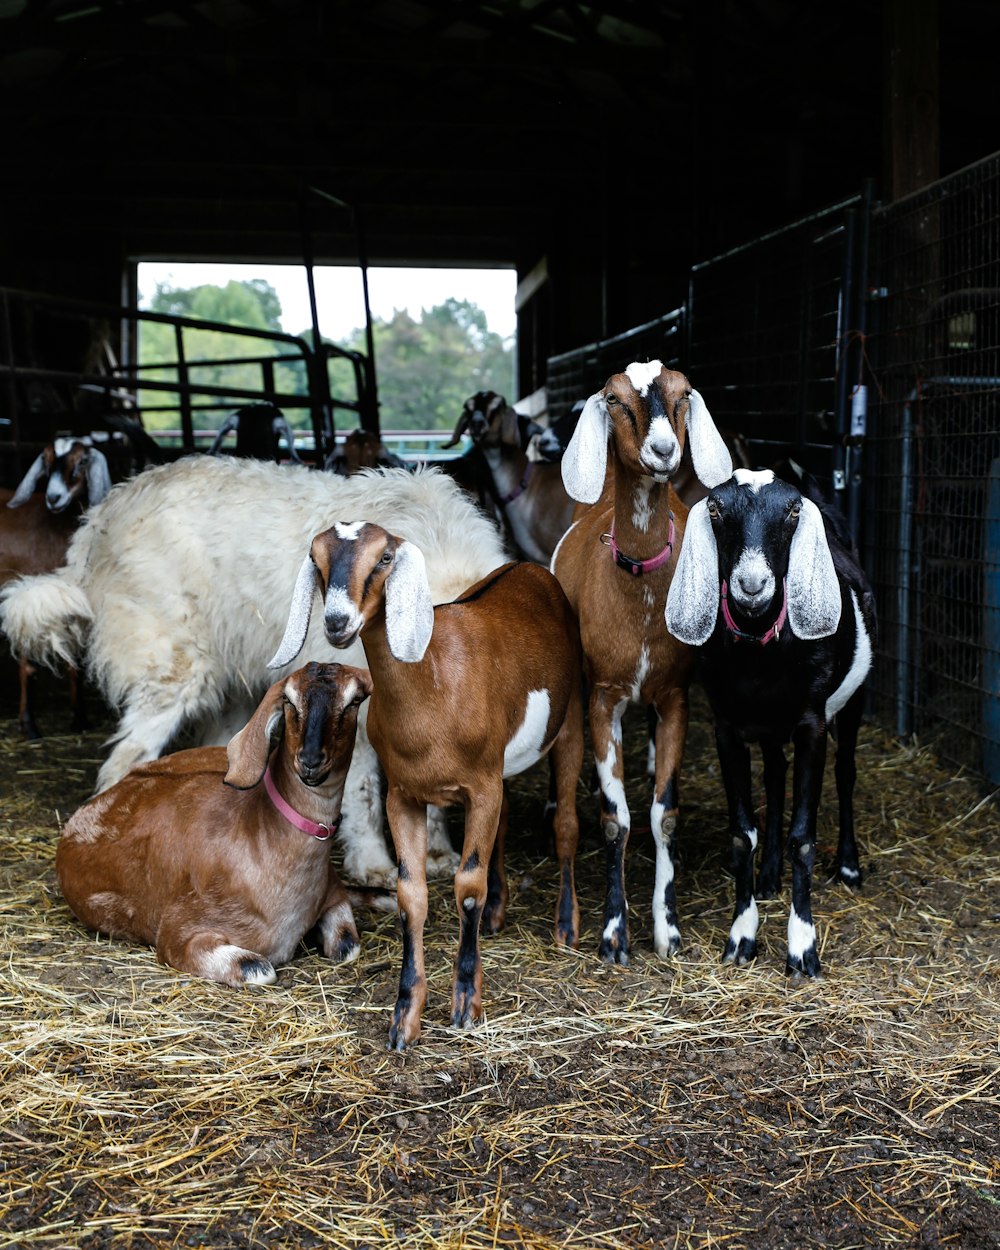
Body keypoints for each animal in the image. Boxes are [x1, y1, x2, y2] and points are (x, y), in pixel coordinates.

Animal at [52, 665, 370, 985]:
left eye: (354, 701)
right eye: (289, 700)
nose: (310, 761)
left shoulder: (332, 893)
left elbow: (347, 945)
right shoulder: (179, 930)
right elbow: (259, 968)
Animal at [270, 522, 582, 1050]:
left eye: (384, 558)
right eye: (317, 558)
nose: (336, 621)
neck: (434, 683)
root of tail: (528, 568)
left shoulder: (480, 786)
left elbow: (468, 885)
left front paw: (465, 1004)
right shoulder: (405, 796)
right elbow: (411, 895)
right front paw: (404, 1019)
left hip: (573, 722)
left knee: (565, 822)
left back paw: (565, 927)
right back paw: (497, 915)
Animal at [550, 362, 730, 965]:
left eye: (683, 394)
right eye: (614, 399)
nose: (663, 450)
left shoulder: (675, 697)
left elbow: (662, 816)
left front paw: (667, 929)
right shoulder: (603, 697)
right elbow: (616, 820)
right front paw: (613, 934)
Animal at [665, 470, 875, 975]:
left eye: (792, 510)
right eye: (716, 508)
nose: (752, 583)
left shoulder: (811, 723)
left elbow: (804, 837)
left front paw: (802, 947)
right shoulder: (727, 726)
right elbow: (744, 834)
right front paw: (742, 936)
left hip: (854, 699)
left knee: (846, 771)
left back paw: (848, 865)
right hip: (767, 728)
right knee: (777, 776)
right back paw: (769, 875)